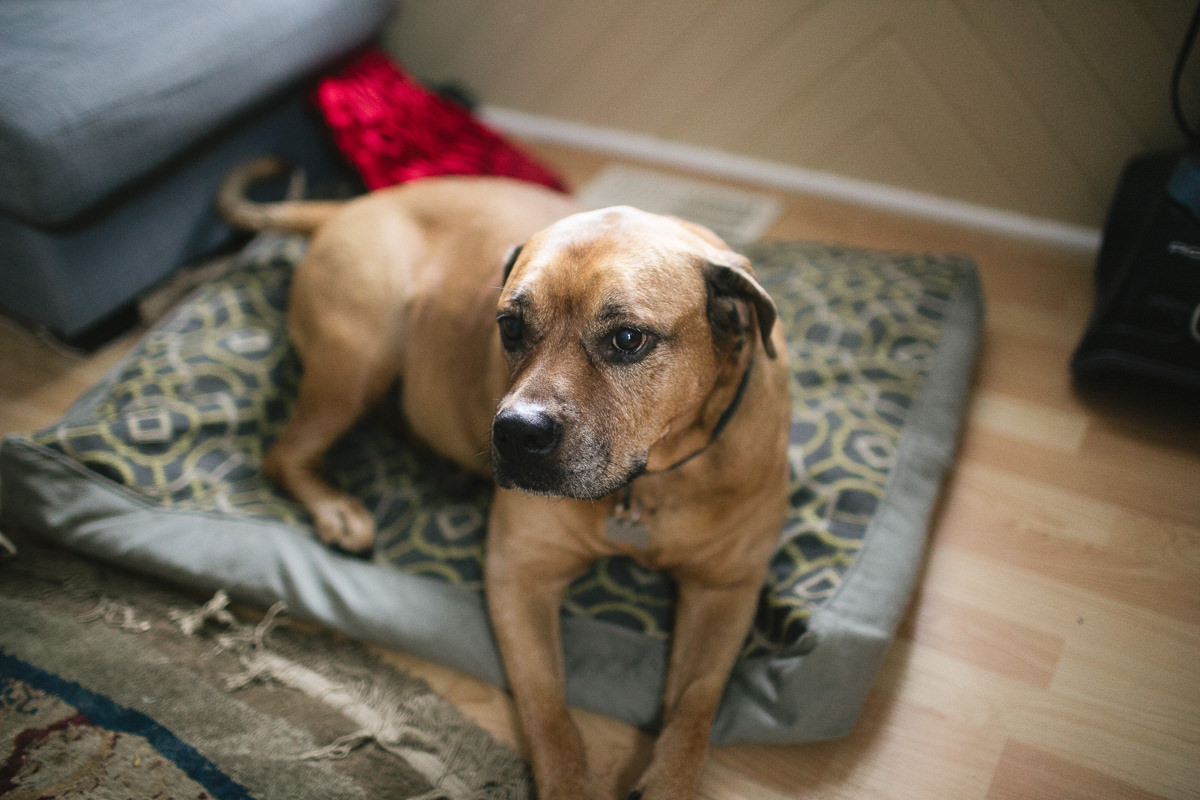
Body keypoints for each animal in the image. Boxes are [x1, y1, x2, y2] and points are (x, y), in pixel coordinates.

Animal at [220, 158, 792, 800]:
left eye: (627, 339)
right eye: (511, 327)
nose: (516, 433)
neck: (649, 483)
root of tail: (352, 205)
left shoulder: (726, 591)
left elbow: (696, 703)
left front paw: (670, 781)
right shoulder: (521, 574)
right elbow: (549, 708)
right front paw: (567, 782)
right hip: (360, 354)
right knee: (283, 453)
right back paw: (340, 509)